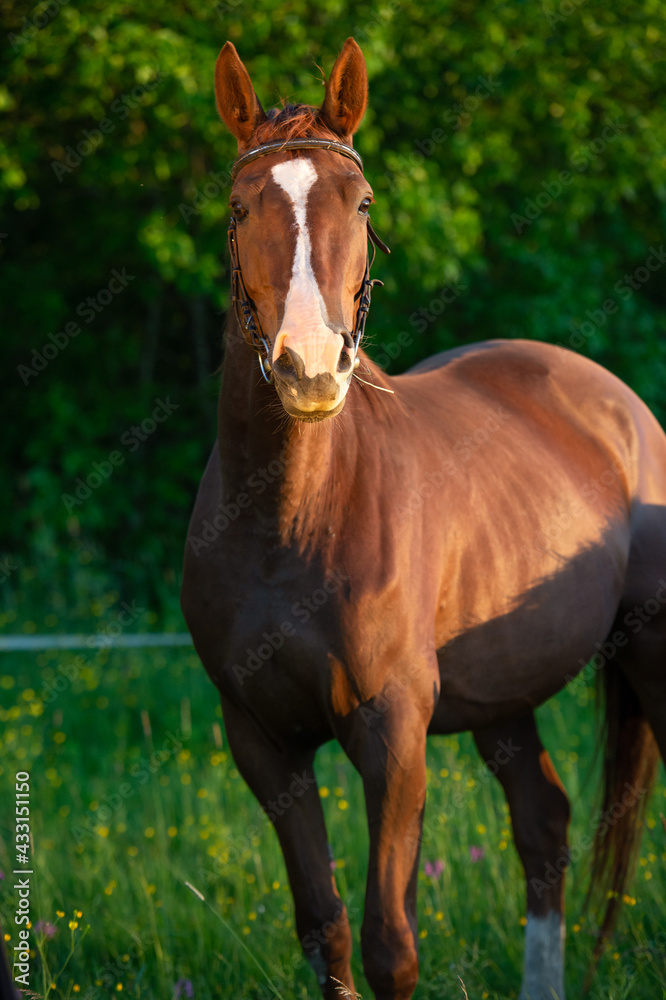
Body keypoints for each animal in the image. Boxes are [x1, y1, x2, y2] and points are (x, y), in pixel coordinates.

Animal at [181, 38, 666, 1000]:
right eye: (240, 205)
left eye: (361, 202)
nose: (310, 370)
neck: (288, 528)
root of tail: (620, 406)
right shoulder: (262, 741)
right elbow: (325, 930)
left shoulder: (393, 731)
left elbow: (388, 944)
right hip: (502, 696)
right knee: (544, 828)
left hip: (654, 650)